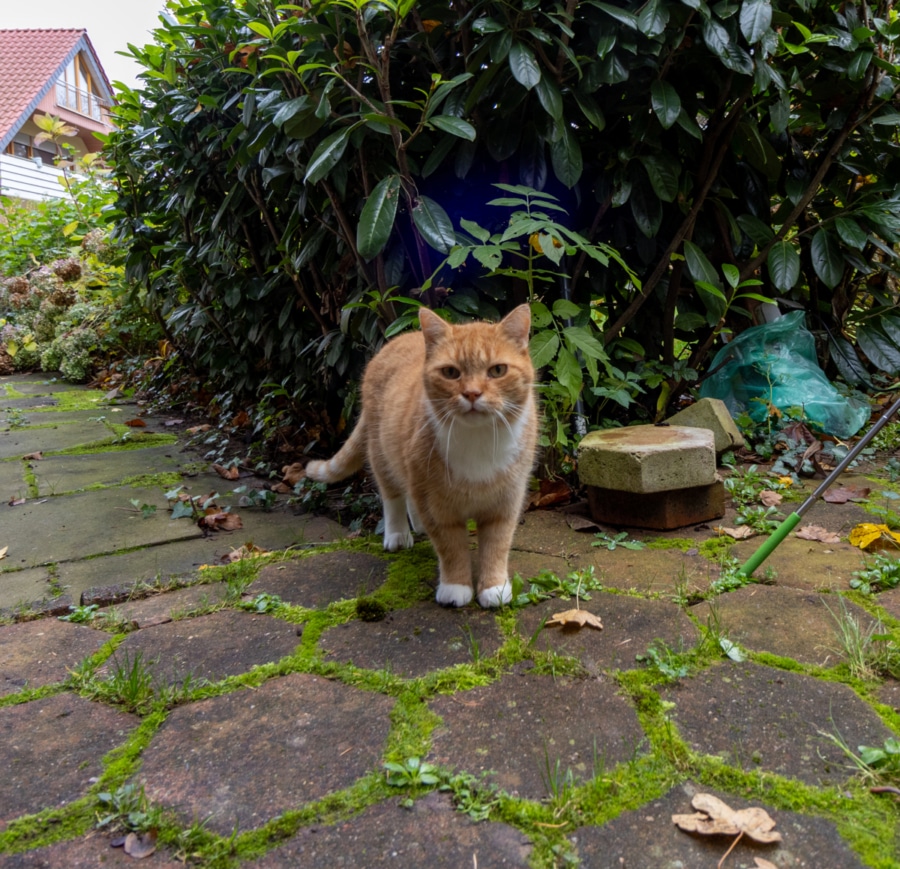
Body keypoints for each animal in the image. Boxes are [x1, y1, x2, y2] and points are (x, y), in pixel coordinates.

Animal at [306, 308, 536, 608]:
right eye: (450, 372)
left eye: (497, 370)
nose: (472, 393)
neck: (478, 441)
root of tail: (402, 337)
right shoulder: (436, 505)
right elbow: (451, 548)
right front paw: (455, 587)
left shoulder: (505, 502)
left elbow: (497, 546)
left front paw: (494, 588)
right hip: (383, 455)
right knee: (392, 495)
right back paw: (398, 534)